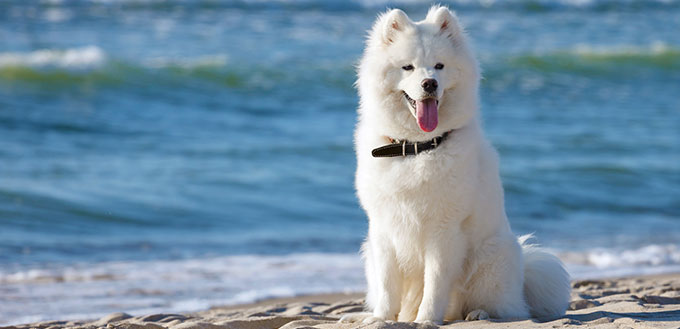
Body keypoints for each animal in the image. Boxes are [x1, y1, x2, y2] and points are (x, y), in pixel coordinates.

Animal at [348, 6, 572, 324]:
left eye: (439, 66)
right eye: (408, 68)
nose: (430, 83)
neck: (416, 148)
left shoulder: (444, 231)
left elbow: (435, 284)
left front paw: (426, 320)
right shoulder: (384, 228)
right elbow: (388, 286)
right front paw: (380, 319)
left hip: (492, 258)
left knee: (508, 308)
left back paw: (480, 314)